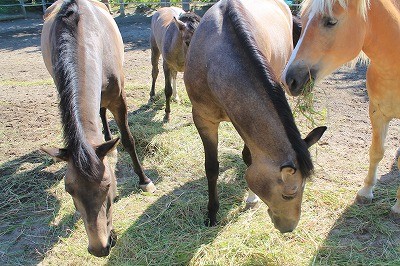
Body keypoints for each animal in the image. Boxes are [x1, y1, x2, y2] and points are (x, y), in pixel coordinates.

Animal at [39, 0, 155, 256]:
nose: (99, 247)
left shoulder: (119, 99)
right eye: (69, 190)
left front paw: (144, 180)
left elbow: (128, 139)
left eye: (108, 186)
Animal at [184, 0, 324, 233]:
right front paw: (211, 214)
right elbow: (211, 167)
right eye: (289, 194)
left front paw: (251, 198)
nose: (290, 227)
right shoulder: (203, 119)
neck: (215, 61)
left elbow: (249, 159)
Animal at [282, 0, 400, 219]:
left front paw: (398, 206)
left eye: (330, 22)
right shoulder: (377, 112)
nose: (289, 80)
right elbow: (376, 152)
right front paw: (365, 192)